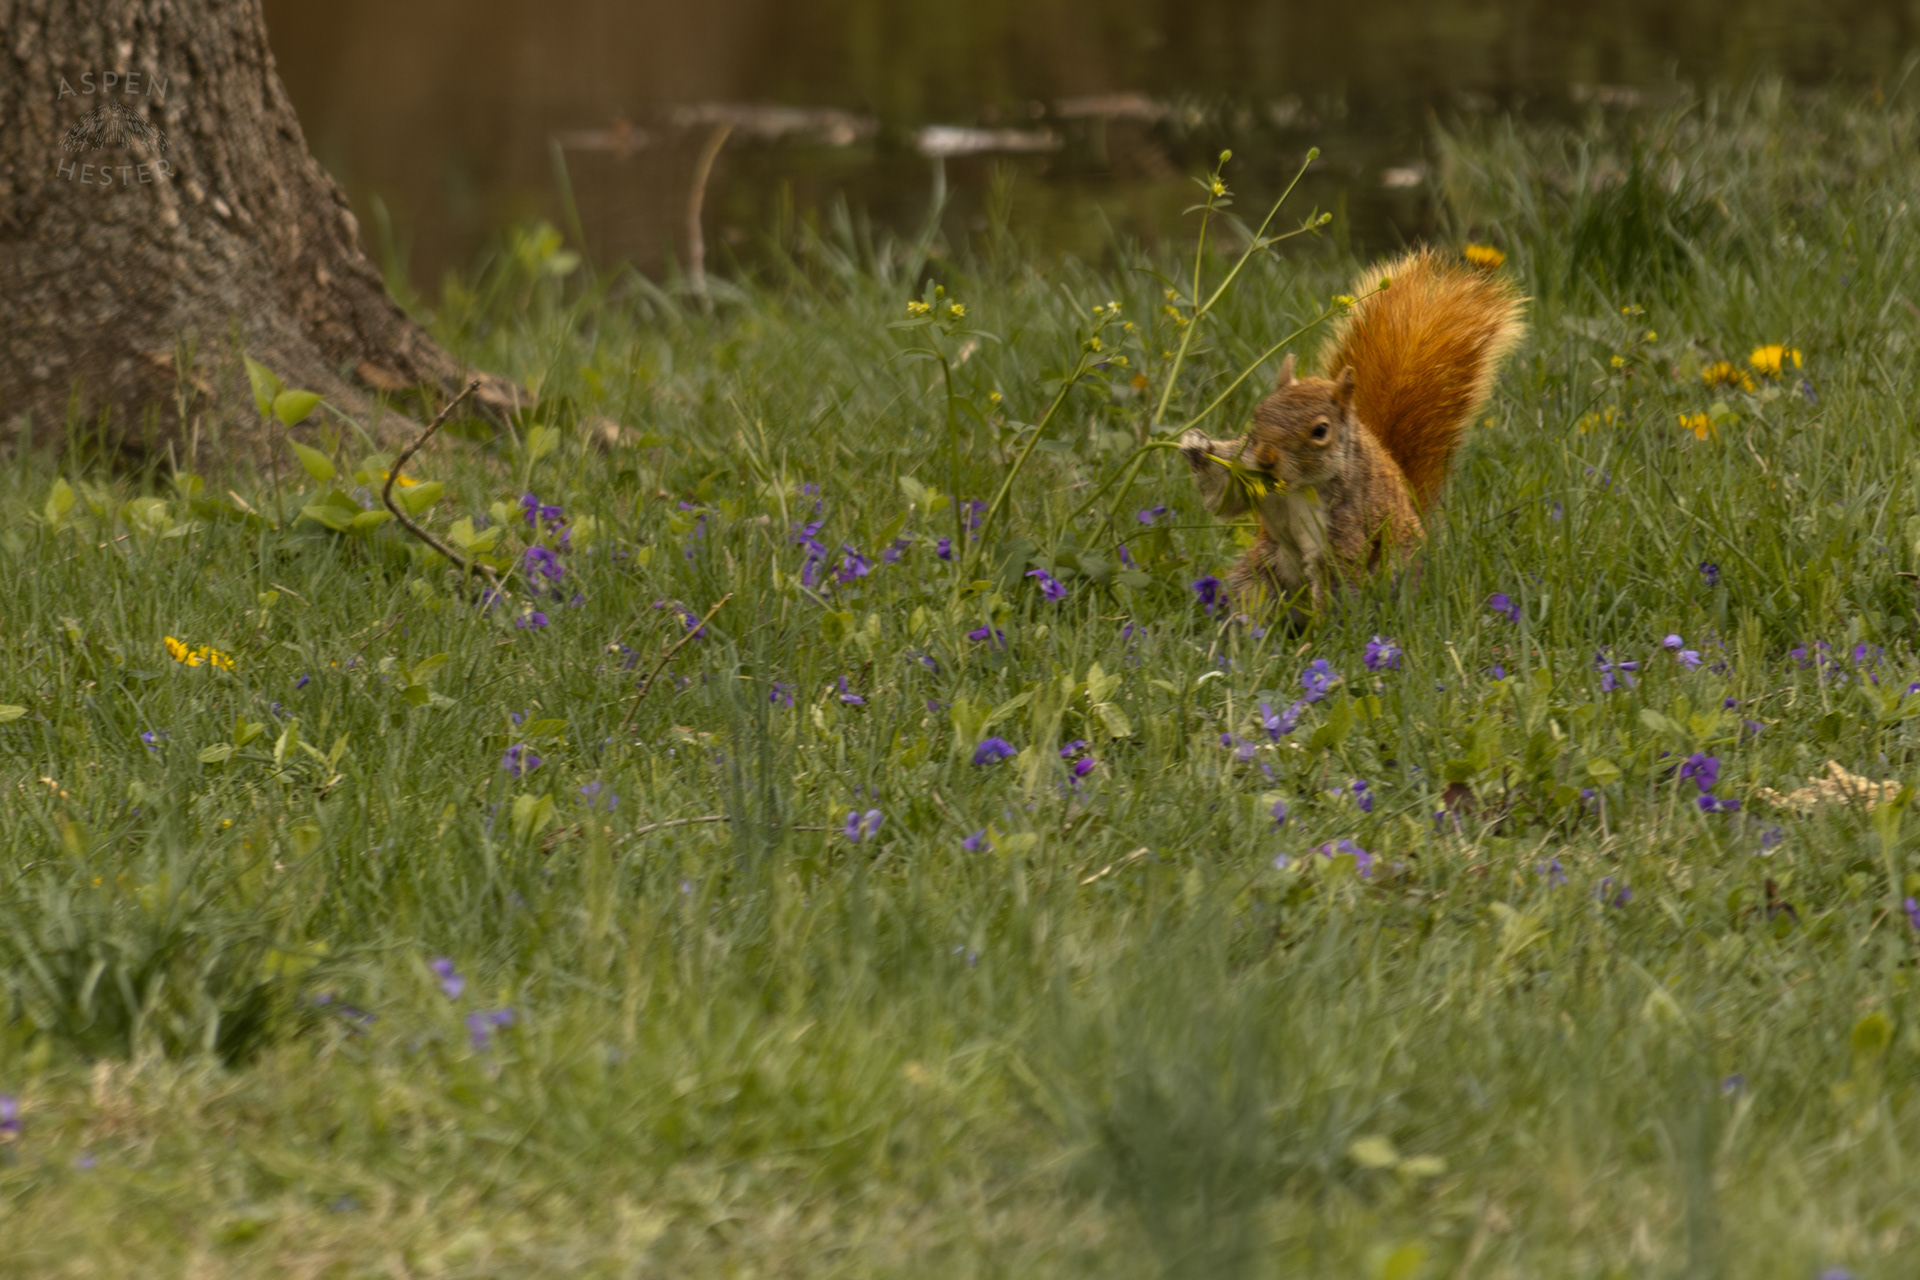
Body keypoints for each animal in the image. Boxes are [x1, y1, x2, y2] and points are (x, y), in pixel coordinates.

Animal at [1181, 246, 1526, 621]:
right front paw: (1195, 444)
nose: (1266, 459)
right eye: (1259, 414)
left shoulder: (1345, 521)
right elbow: (1223, 496)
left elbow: (1337, 574)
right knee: (1251, 595)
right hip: (1261, 572)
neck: (1296, 488)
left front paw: (1322, 633)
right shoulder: (1251, 477)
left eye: (1320, 431)